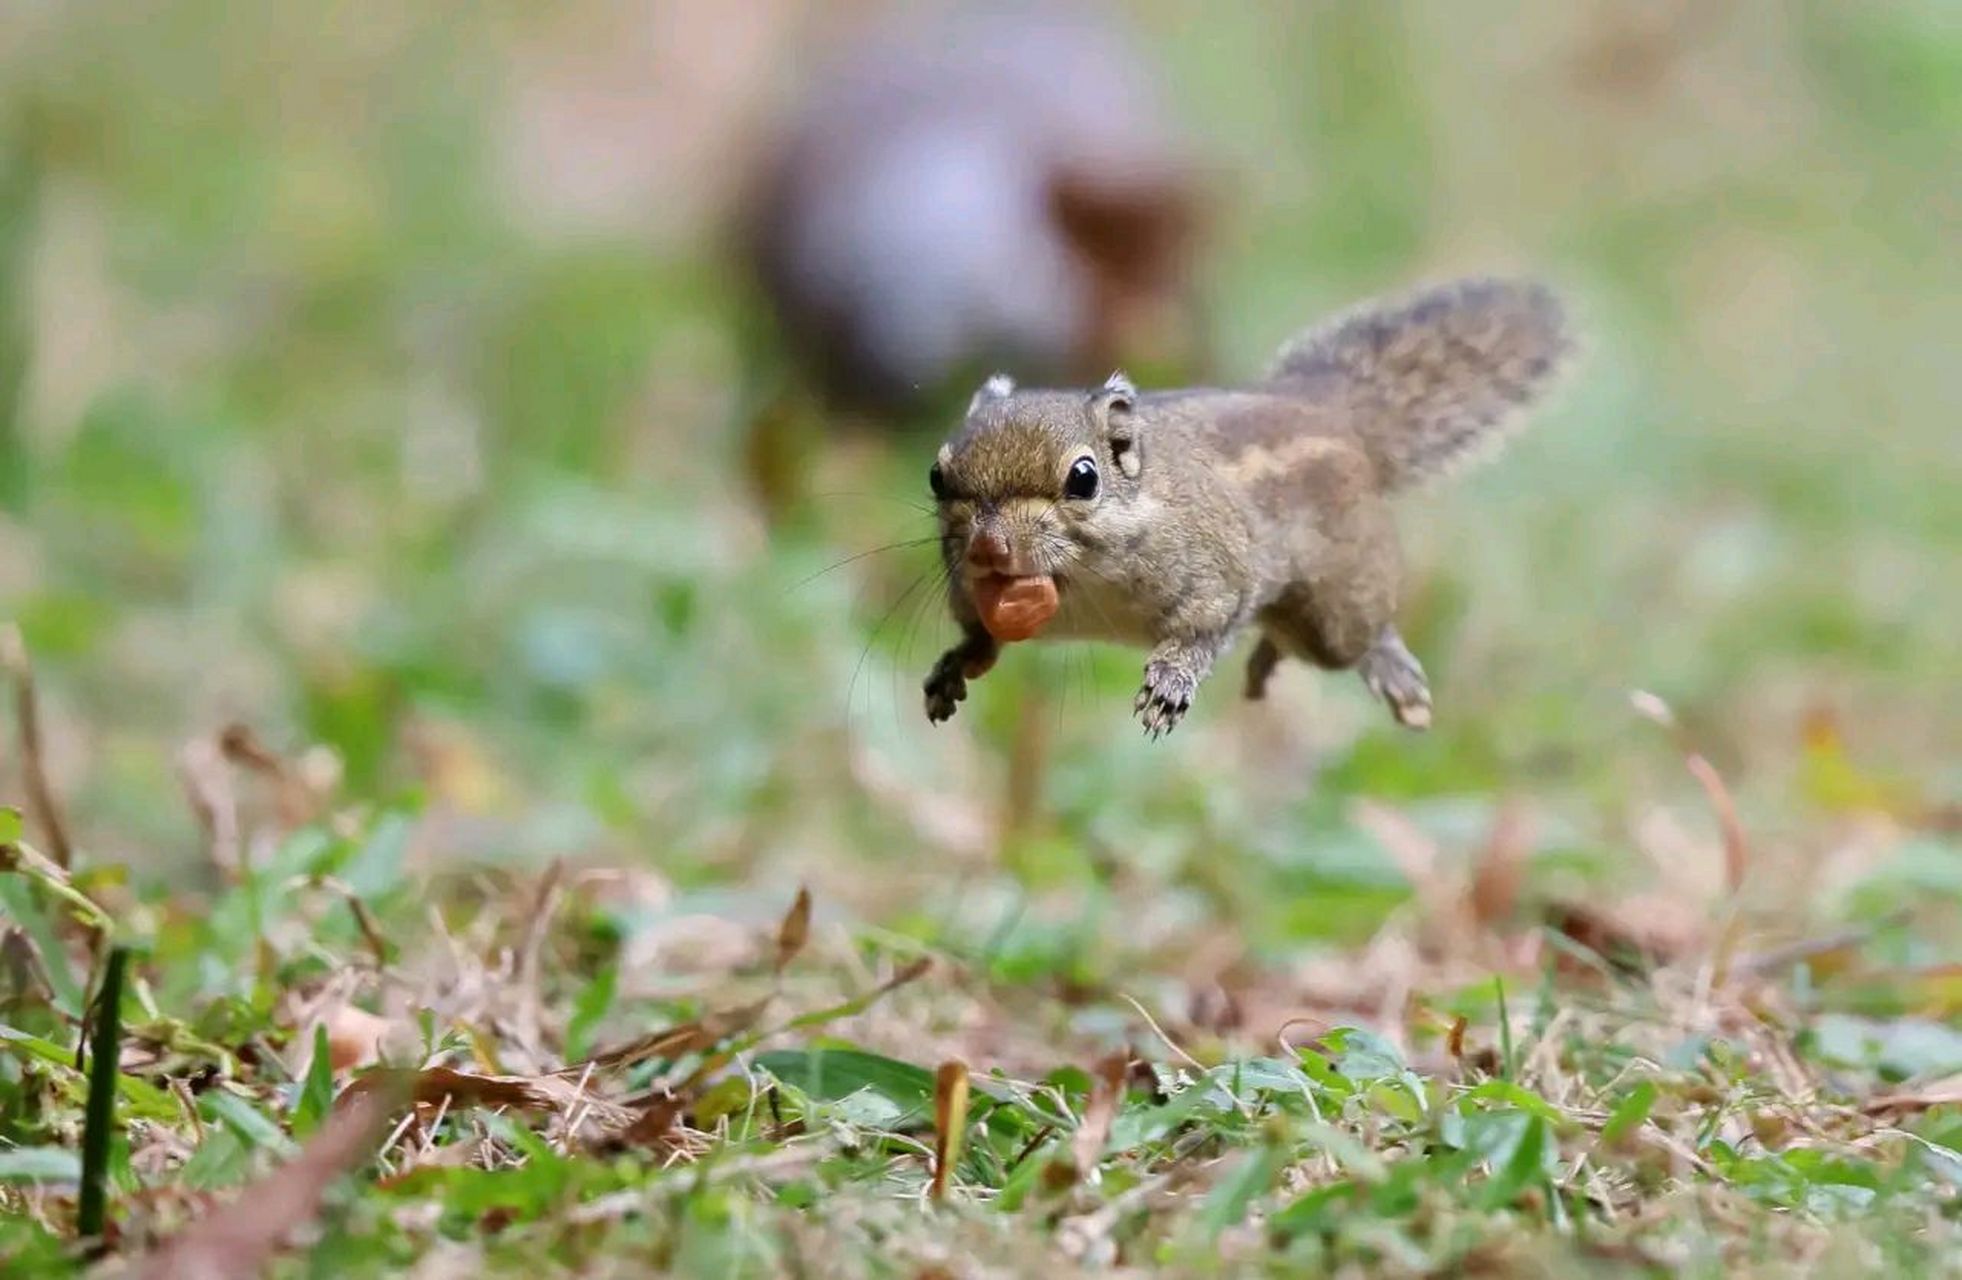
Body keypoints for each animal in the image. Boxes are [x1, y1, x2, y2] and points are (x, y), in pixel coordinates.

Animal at [918, 280, 1577, 738]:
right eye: (936, 474)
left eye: (1084, 478)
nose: (990, 547)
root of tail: (1335, 418)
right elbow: (982, 641)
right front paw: (953, 668)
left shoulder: (1219, 573)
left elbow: (1207, 628)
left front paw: (1171, 679)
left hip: (1338, 607)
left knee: (1358, 635)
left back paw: (1391, 671)